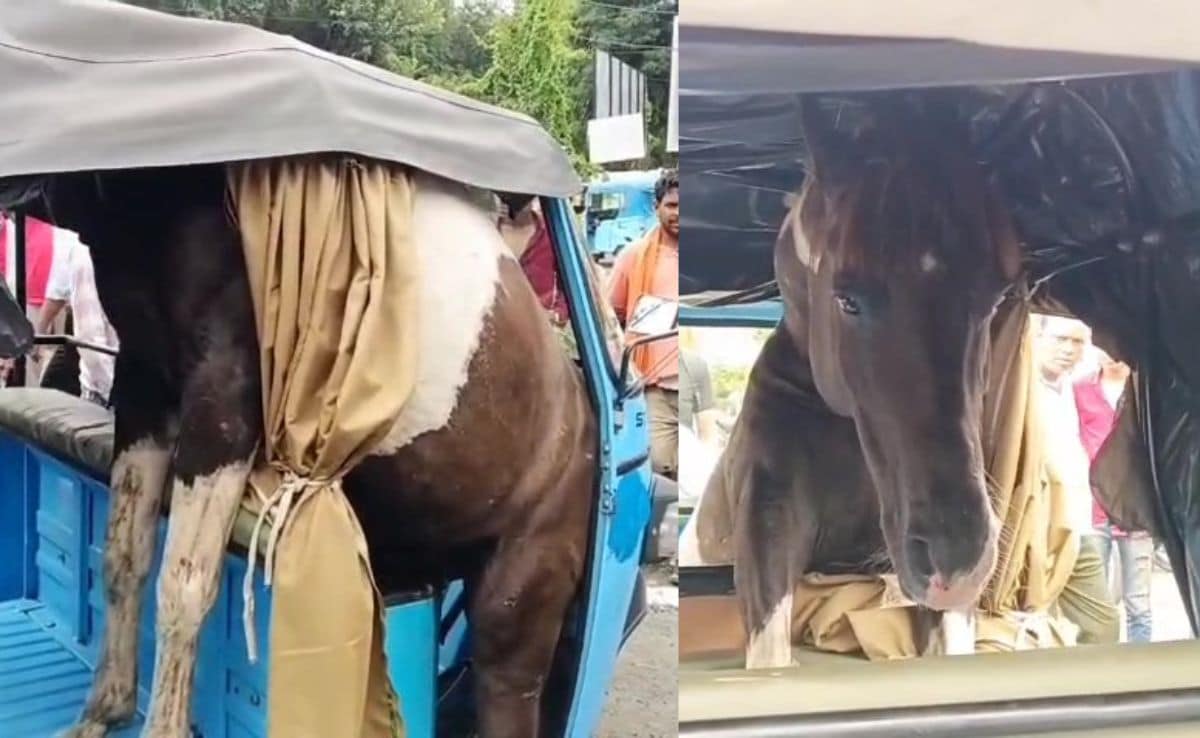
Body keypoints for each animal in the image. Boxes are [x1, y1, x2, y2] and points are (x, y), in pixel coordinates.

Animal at [0, 162, 596, 738]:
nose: (16, 338)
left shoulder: (225, 398)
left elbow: (185, 583)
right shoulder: (144, 382)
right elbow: (124, 556)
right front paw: (105, 710)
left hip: (522, 583)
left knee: (508, 683)